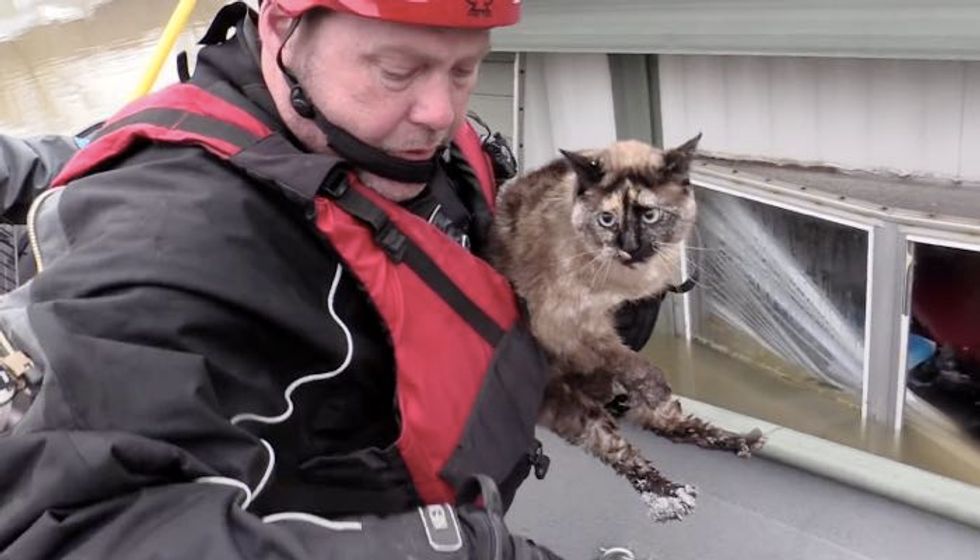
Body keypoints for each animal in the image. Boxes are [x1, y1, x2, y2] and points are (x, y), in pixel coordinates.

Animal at [490, 136, 764, 520]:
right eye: (607, 220)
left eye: (650, 215)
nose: (630, 247)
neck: (627, 283)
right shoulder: (565, 322)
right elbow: (627, 360)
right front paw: (651, 383)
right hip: (572, 404)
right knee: (624, 449)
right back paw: (672, 498)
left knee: (670, 425)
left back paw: (740, 442)